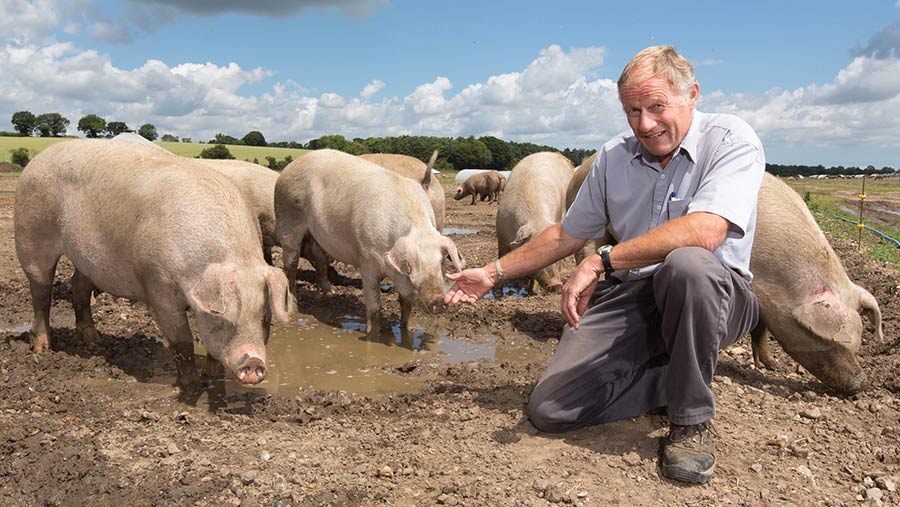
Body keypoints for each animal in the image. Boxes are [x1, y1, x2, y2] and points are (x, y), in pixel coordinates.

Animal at [14, 139, 296, 392]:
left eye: (264, 318)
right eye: (225, 318)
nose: (254, 364)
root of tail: (36, 160)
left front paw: (213, 377)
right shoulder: (158, 287)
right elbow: (182, 342)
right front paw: (190, 388)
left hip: (86, 258)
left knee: (79, 287)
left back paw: (94, 342)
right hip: (31, 233)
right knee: (41, 292)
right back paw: (42, 349)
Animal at [274, 149, 464, 336]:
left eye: (441, 261)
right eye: (411, 265)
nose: (439, 302)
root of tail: (289, 167)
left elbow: (406, 304)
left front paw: (407, 331)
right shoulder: (367, 259)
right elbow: (374, 306)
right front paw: (373, 335)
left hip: (314, 234)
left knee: (319, 258)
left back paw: (329, 293)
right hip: (287, 218)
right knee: (290, 266)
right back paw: (294, 306)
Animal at [496, 151, 572, 294]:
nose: (556, 284)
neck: (536, 218)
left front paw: (533, 292)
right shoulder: (501, 236)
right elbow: (500, 258)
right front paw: (497, 293)